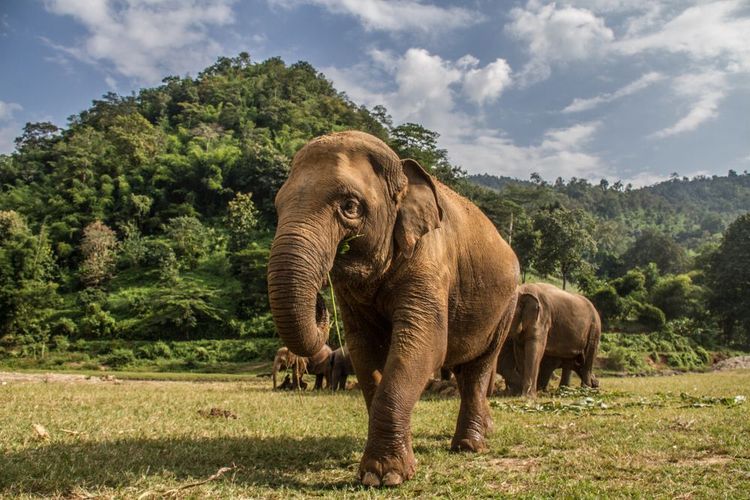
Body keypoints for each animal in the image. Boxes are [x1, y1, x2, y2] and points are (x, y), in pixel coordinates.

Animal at [267, 131, 519, 486]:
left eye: (350, 206)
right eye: (278, 206)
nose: (320, 299)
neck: (401, 169)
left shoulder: (431, 262)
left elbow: (425, 344)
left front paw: (385, 477)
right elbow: (365, 349)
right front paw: (382, 471)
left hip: (506, 306)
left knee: (478, 367)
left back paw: (469, 446)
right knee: (463, 366)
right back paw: (485, 430)